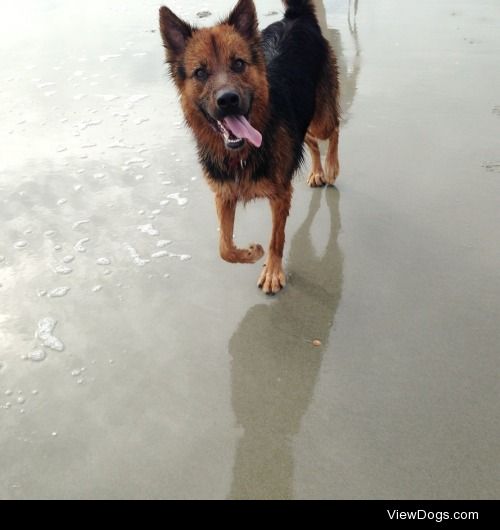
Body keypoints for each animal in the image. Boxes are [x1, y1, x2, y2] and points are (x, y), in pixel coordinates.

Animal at [160, 0, 340, 292]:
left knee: (333, 128)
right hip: (301, 125)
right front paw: (251, 253)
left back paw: (332, 167)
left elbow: (276, 239)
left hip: (319, 118)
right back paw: (317, 172)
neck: (241, 153)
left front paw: (273, 271)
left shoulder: (280, 196)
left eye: (238, 64)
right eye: (200, 72)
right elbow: (224, 247)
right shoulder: (223, 195)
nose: (228, 100)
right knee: (312, 142)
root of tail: (296, 16)